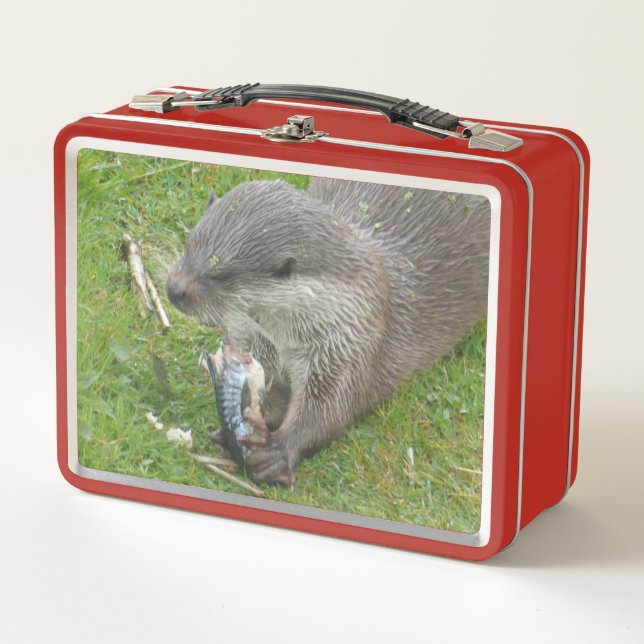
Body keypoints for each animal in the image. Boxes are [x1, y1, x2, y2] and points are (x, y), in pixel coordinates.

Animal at [166, 177, 490, 487]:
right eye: (189, 243)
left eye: (220, 274)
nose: (174, 289)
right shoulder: (254, 338)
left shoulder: (350, 343)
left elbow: (331, 408)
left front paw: (278, 449)